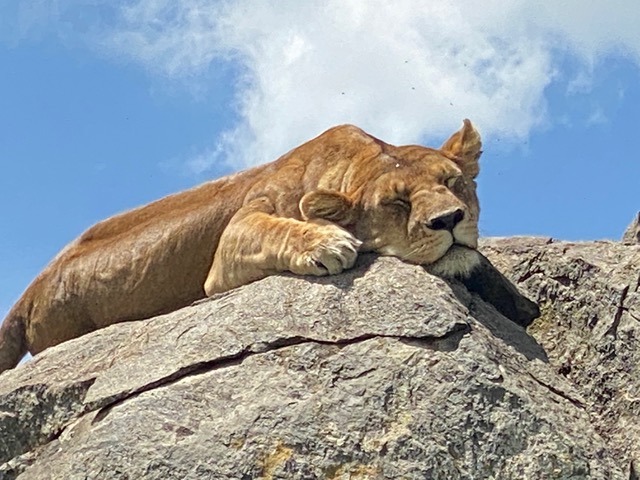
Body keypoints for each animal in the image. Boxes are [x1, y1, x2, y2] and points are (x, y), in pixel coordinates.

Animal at [0, 120, 482, 373]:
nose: (448, 220)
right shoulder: (232, 241)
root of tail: (31, 289)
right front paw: (327, 242)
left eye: (452, 182)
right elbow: (276, 229)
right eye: (397, 203)